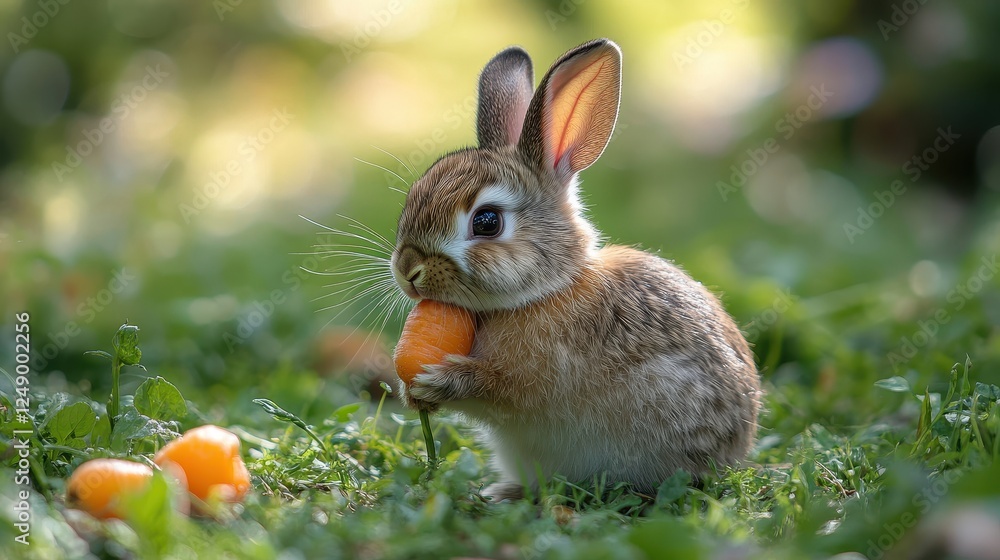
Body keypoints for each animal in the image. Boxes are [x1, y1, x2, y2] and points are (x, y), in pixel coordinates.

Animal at [390, 38, 761, 502]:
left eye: (487, 222)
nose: (407, 269)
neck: (548, 290)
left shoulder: (537, 378)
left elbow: (501, 388)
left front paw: (437, 381)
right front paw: (411, 393)